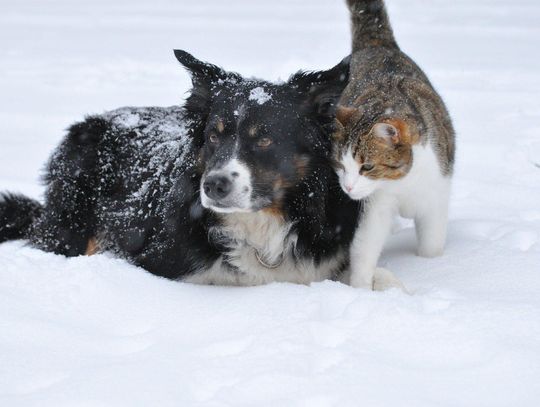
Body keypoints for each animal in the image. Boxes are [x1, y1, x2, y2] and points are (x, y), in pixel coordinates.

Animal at [334, 0, 456, 290]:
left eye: (367, 166)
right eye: (340, 165)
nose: (348, 187)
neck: (403, 182)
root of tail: (377, 44)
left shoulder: (436, 194)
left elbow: (432, 244)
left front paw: (433, 268)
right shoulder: (375, 205)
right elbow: (365, 245)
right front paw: (360, 288)